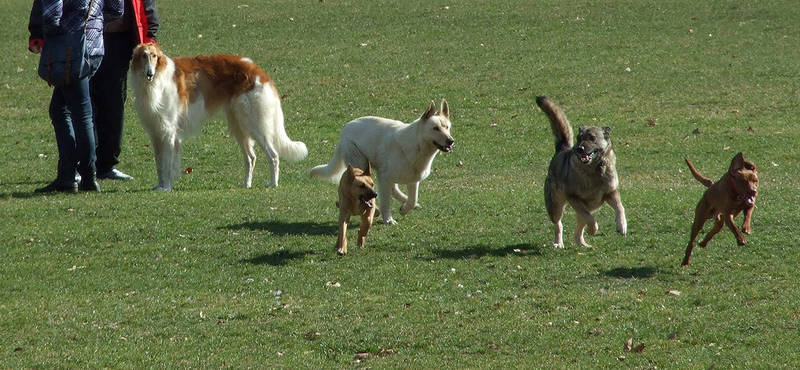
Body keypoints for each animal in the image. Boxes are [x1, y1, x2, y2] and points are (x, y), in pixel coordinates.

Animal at [130, 42, 308, 191]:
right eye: (143, 56)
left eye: (154, 56)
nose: (150, 73)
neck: (156, 82)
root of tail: (259, 72)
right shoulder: (155, 133)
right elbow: (159, 163)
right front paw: (159, 185)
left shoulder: (169, 133)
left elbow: (167, 165)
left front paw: (166, 187)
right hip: (239, 125)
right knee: (251, 157)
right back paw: (246, 184)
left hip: (253, 124)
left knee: (273, 155)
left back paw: (272, 183)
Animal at [310, 99, 454, 224]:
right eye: (435, 128)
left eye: (447, 127)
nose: (451, 141)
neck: (416, 145)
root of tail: (345, 130)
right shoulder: (385, 178)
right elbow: (385, 202)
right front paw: (388, 220)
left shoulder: (412, 181)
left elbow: (413, 199)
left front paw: (404, 209)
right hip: (362, 166)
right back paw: (377, 210)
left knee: (395, 190)